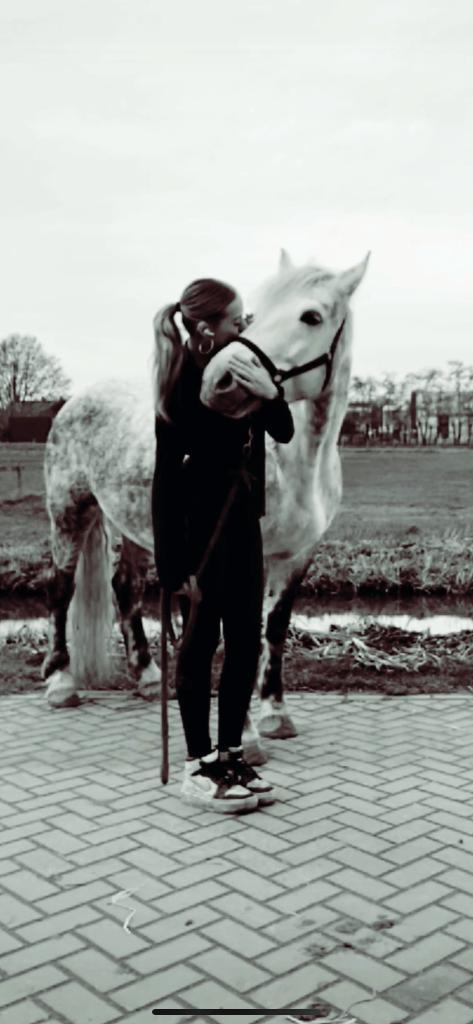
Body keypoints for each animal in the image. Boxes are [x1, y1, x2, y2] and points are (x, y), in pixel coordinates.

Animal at [42, 249, 369, 757]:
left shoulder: (298, 556)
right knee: (61, 589)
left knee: (124, 589)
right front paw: (245, 736)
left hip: (137, 526)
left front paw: (276, 715)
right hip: (67, 513)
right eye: (253, 313)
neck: (297, 463)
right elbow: (235, 634)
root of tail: (78, 400)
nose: (221, 382)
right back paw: (61, 683)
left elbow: (274, 629)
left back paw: (149, 678)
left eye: (312, 316)